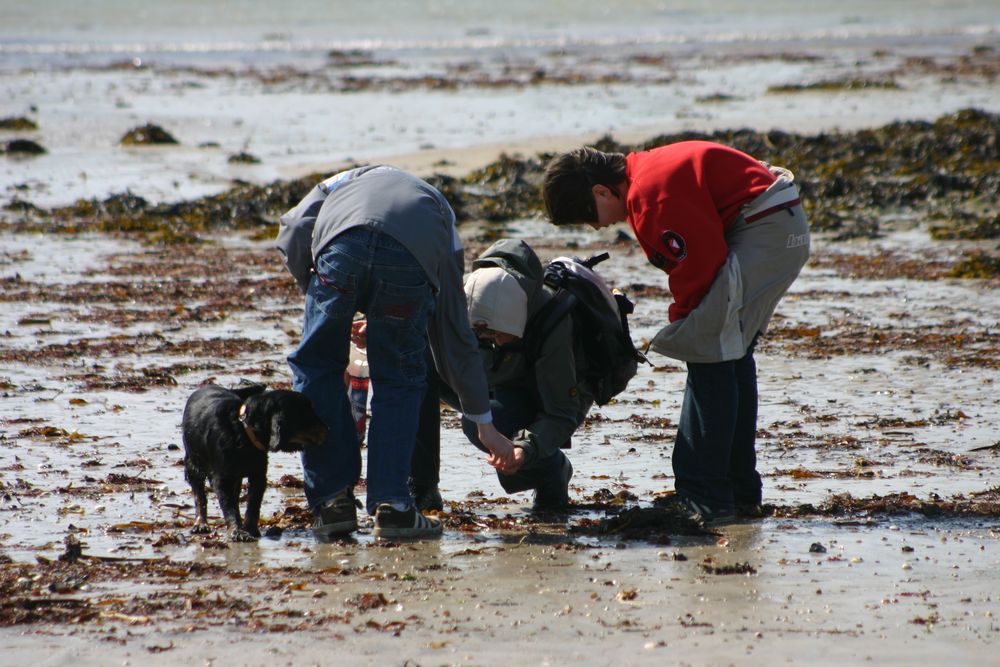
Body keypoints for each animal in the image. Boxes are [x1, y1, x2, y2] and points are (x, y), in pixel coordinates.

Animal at [182, 386, 326, 544]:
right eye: (306, 412)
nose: (328, 429)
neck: (243, 431)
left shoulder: (258, 475)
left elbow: (253, 504)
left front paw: (250, 529)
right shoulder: (222, 478)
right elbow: (228, 506)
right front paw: (237, 531)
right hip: (193, 462)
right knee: (199, 494)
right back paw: (200, 523)